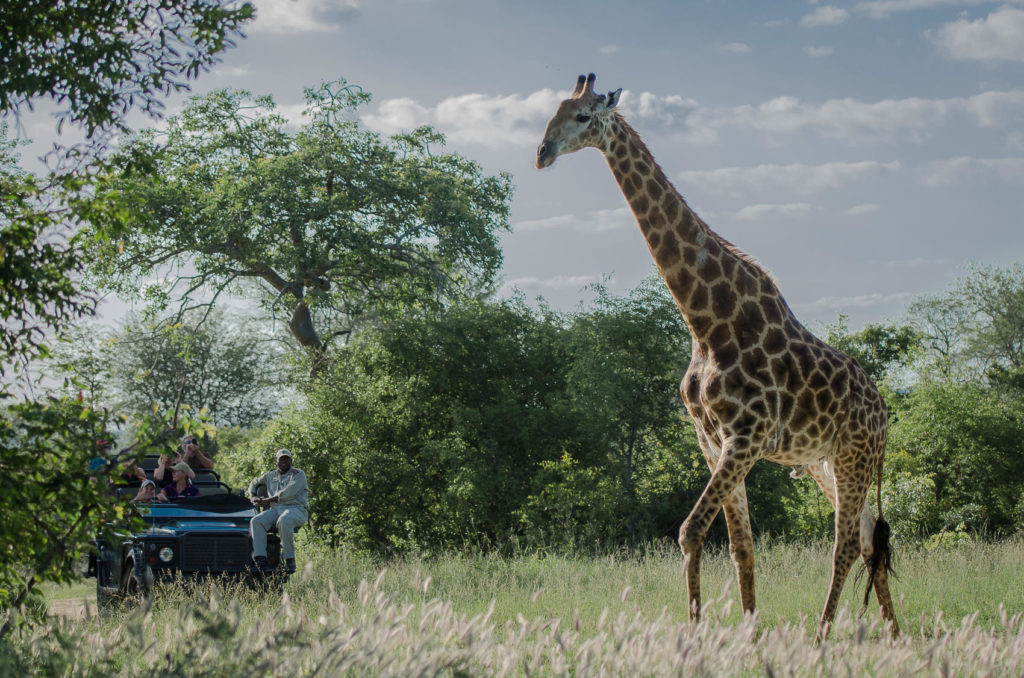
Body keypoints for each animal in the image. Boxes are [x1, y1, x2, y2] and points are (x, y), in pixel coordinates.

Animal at [536, 73, 899, 640]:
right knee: (868, 542)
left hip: (854, 455)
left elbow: (690, 531)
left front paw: (698, 632)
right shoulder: (711, 439)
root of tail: (885, 413)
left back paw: (822, 637)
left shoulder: (746, 437)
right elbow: (740, 547)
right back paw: (895, 636)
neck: (706, 321)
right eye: (551, 112)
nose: (542, 152)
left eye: (582, 116)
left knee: (844, 547)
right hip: (825, 463)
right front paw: (743, 633)